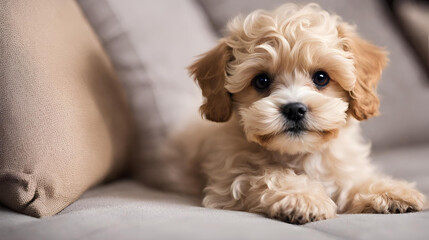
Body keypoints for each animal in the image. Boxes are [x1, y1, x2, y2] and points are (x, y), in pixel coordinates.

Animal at [151, 2, 424, 225]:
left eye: (321, 78)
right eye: (261, 81)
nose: (294, 108)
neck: (299, 154)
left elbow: (350, 179)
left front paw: (388, 190)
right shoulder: (229, 182)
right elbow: (268, 175)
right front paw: (302, 197)